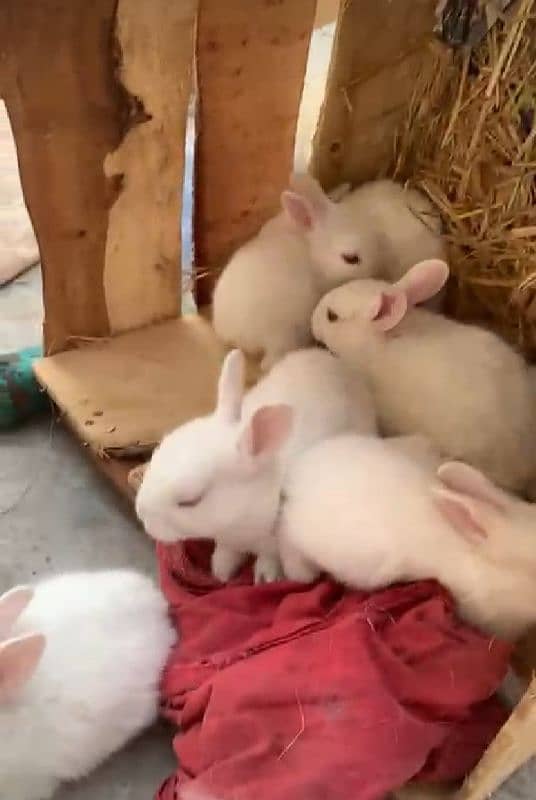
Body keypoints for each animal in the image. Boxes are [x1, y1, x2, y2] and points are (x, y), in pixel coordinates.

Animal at [136, 346, 374, 584]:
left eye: (190, 501)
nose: (142, 514)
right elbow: (225, 553)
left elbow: (270, 559)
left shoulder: (273, 547)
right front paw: (220, 572)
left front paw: (265, 578)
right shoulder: (228, 540)